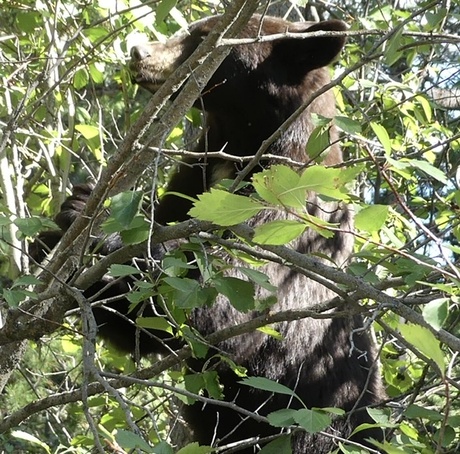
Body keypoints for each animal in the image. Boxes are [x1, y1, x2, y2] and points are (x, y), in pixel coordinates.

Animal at [33, 12, 384, 452]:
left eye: (202, 39)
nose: (138, 52)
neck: (240, 145)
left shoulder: (289, 219)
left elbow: (223, 304)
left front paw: (114, 236)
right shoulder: (194, 178)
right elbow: (142, 326)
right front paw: (69, 217)